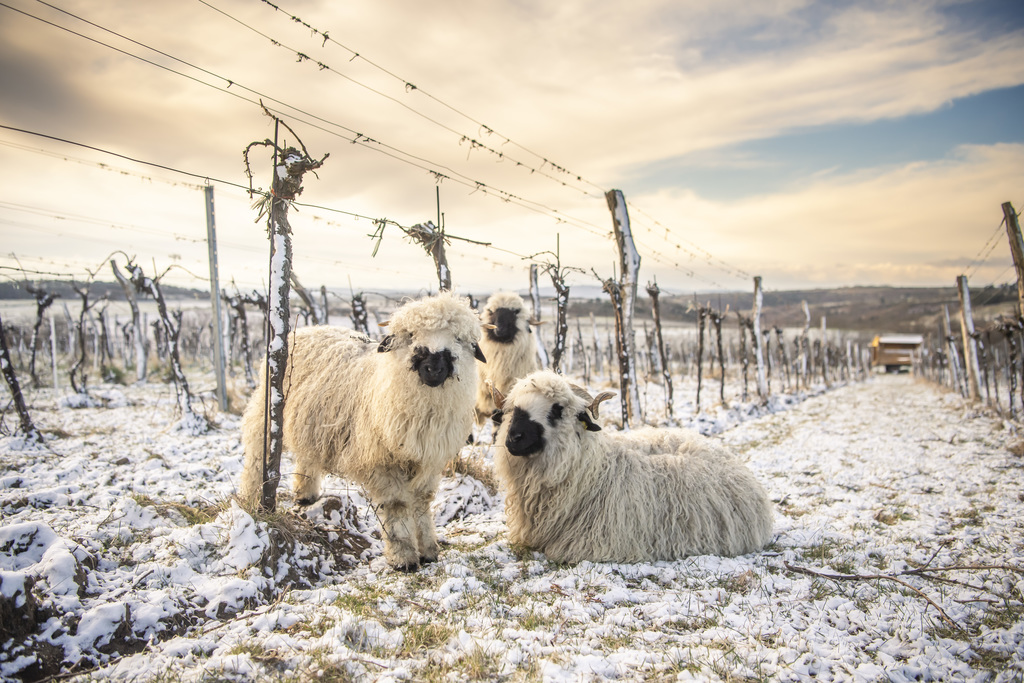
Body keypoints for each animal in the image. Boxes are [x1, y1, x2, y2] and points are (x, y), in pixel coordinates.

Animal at [237, 290, 485, 569]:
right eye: (411, 335)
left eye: (458, 339)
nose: (433, 369)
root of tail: (309, 329)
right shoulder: (381, 462)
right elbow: (397, 504)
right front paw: (404, 557)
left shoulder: (430, 461)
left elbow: (422, 501)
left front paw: (428, 550)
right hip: (265, 413)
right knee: (256, 459)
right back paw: (252, 500)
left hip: (310, 421)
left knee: (306, 456)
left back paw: (305, 495)